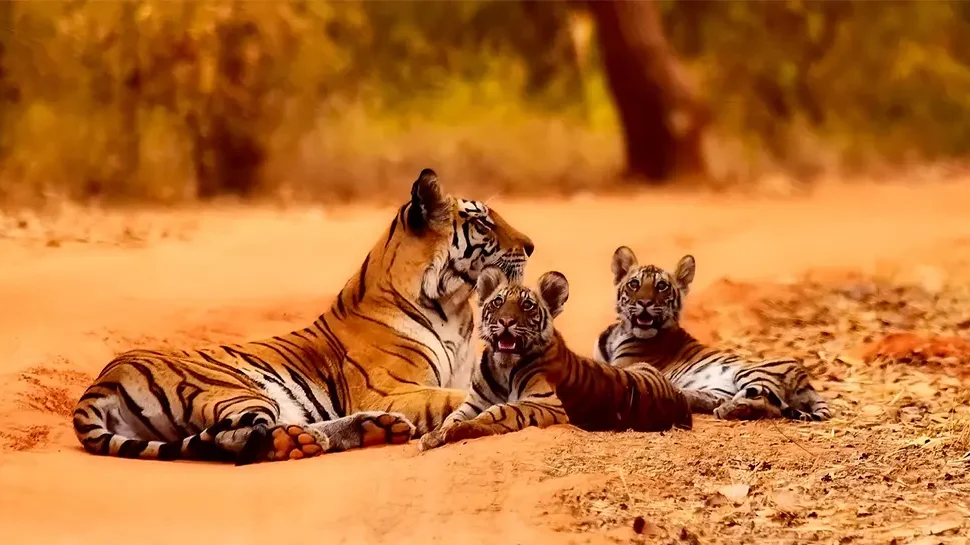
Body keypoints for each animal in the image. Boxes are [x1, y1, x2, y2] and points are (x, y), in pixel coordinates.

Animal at [72, 168, 535, 464]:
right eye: (484, 223)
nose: (531, 246)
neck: (455, 308)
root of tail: (101, 382)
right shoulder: (392, 389)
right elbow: (455, 399)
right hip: (236, 389)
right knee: (234, 438)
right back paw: (306, 440)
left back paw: (372, 430)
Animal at [419, 267, 692, 451]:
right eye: (497, 302)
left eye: (527, 306)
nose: (506, 321)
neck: (503, 367)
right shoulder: (474, 401)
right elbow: (453, 416)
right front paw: (435, 435)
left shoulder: (546, 402)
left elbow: (500, 411)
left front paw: (459, 430)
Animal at [593, 246, 832, 421]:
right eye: (634, 284)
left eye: (661, 286)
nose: (644, 302)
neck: (621, 331)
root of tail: (806, 381)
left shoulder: (624, 367)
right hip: (719, 388)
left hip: (751, 372)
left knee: (764, 403)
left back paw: (730, 409)